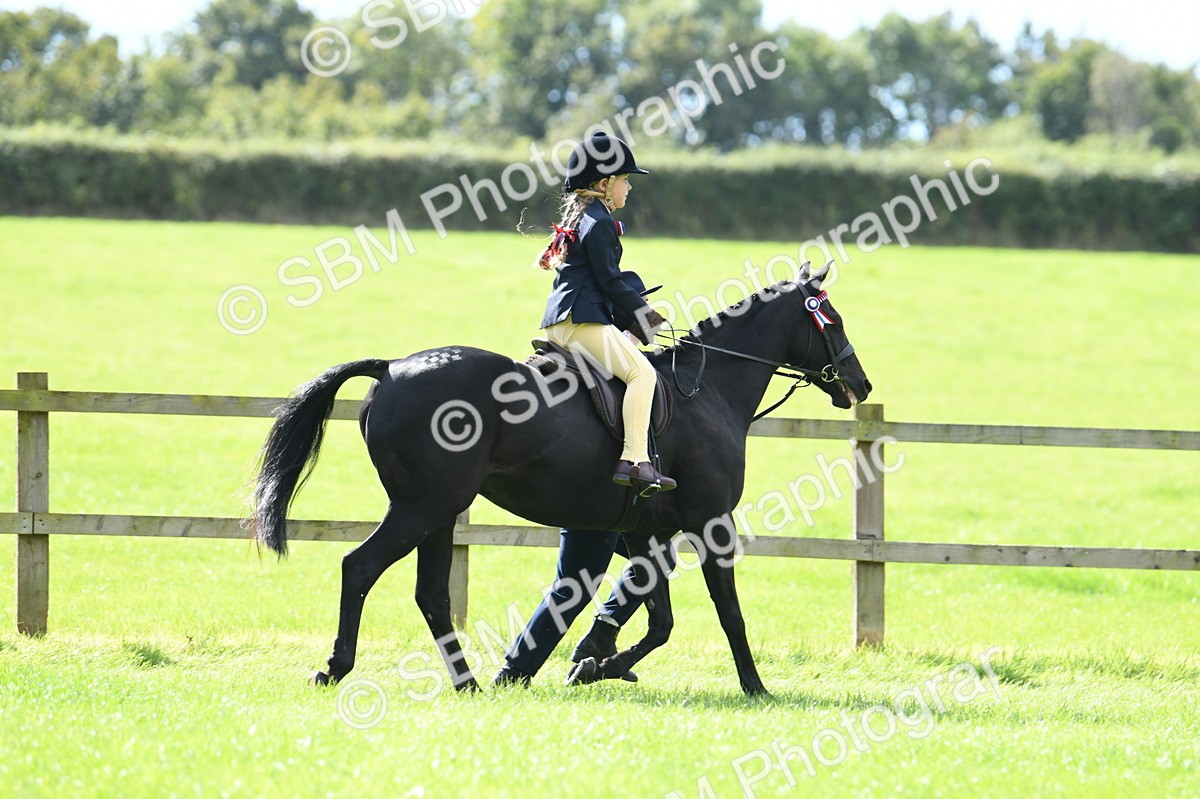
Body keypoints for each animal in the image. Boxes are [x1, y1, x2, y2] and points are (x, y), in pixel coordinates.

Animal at [251, 262, 871, 695]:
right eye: (833, 320)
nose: (860, 385)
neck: (708, 388)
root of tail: (393, 367)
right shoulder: (710, 524)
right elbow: (727, 613)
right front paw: (755, 686)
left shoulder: (644, 532)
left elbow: (658, 617)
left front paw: (595, 663)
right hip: (420, 509)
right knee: (360, 568)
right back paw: (336, 669)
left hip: (439, 513)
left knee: (431, 594)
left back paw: (471, 683)